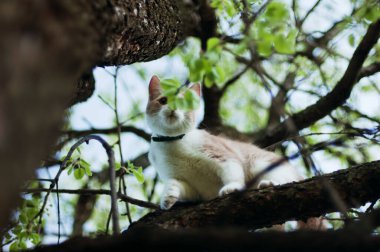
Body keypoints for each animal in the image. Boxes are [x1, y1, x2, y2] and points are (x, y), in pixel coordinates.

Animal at [145, 75, 302, 211]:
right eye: (163, 100)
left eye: (184, 102)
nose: (173, 107)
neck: (173, 142)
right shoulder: (187, 184)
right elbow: (176, 185)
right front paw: (167, 197)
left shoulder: (221, 155)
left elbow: (232, 173)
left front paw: (232, 187)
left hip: (260, 163)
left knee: (286, 179)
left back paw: (268, 183)